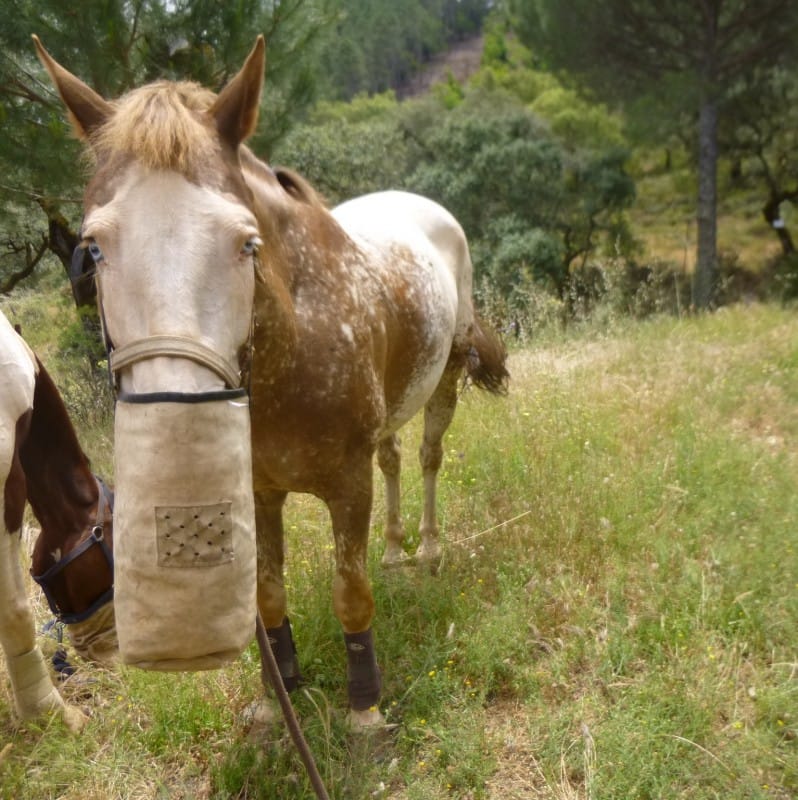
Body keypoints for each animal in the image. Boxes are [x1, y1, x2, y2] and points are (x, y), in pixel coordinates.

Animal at [34, 36, 510, 724]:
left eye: (246, 243)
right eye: (94, 248)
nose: (178, 437)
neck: (296, 347)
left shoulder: (347, 485)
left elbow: (350, 592)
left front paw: (364, 711)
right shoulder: (258, 493)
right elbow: (266, 594)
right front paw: (275, 696)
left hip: (445, 374)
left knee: (427, 457)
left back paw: (426, 550)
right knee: (394, 457)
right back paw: (396, 552)